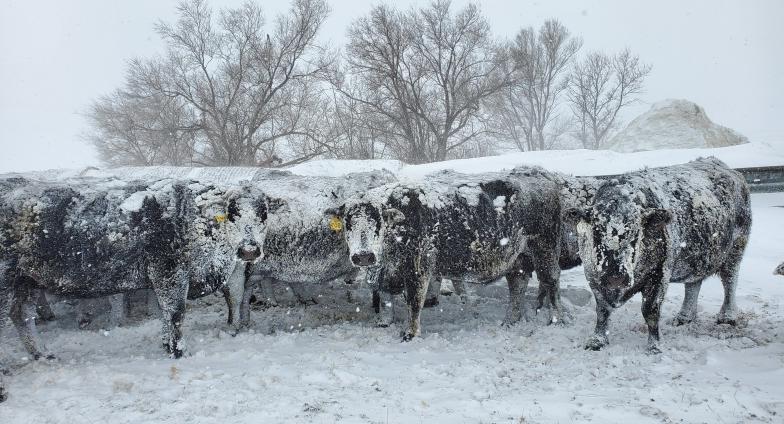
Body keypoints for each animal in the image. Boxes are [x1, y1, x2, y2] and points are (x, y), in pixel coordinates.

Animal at [330, 167, 564, 340]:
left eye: (378, 221)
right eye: (348, 222)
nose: (364, 255)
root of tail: (540, 176)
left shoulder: (418, 268)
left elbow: (414, 301)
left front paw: (410, 334)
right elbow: (387, 299)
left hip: (544, 249)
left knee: (550, 281)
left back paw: (555, 320)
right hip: (517, 259)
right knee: (517, 285)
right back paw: (509, 322)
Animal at [564, 157, 752, 352]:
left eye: (635, 234)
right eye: (596, 232)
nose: (615, 277)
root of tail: (721, 165)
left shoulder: (660, 274)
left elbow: (650, 310)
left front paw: (654, 345)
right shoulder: (593, 276)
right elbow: (602, 310)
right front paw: (597, 340)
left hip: (735, 250)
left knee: (730, 281)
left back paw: (727, 317)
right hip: (697, 258)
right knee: (693, 285)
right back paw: (684, 317)